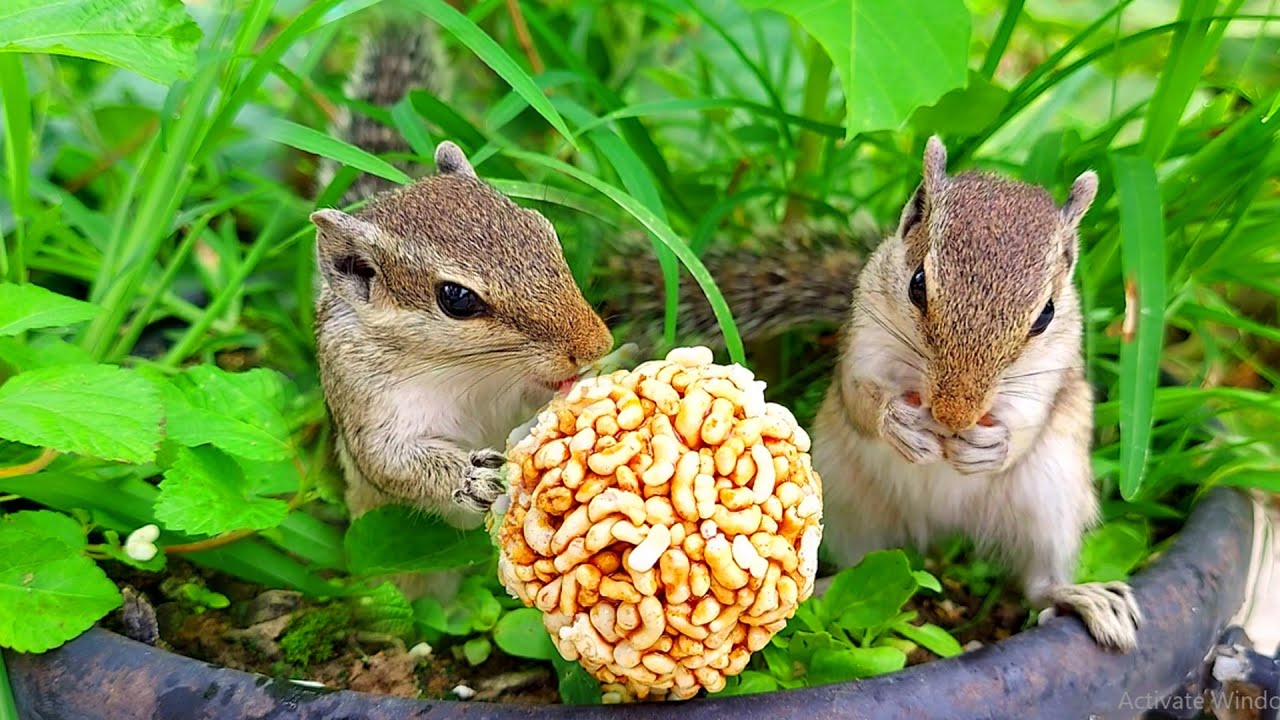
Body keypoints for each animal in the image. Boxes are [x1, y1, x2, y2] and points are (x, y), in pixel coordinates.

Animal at [312, 19, 613, 535]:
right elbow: (390, 462)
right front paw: (472, 478)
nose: (596, 346)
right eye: (456, 298)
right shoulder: (364, 393)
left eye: (544, 229)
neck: (472, 372)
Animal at [811, 136, 1143, 652]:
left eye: (1046, 314)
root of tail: (942, 529)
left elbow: (1027, 427)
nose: (954, 416)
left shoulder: (1051, 376)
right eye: (918, 284)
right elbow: (860, 400)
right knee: (859, 567)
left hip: (1050, 499)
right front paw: (898, 424)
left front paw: (992, 445)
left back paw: (1083, 597)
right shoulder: (861, 346)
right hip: (843, 496)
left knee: (1038, 583)